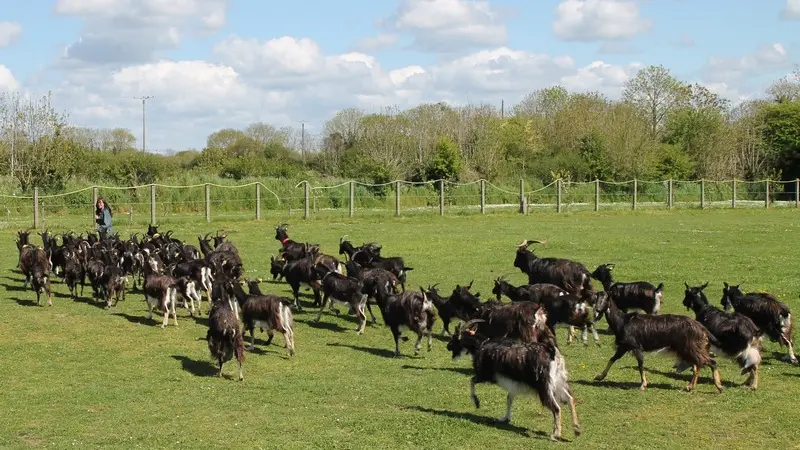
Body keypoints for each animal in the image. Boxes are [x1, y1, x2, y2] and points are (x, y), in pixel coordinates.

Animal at [444, 314, 580, 442]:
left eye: (455, 337)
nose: (447, 346)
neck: (481, 345)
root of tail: (552, 352)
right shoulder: (513, 384)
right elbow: (509, 399)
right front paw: (505, 418)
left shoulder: (485, 375)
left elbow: (472, 381)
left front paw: (477, 403)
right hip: (559, 381)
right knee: (570, 399)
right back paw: (577, 429)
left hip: (544, 386)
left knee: (556, 408)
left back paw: (556, 434)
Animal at [592, 292, 720, 390]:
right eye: (596, 299)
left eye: (605, 299)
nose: (597, 310)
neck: (622, 321)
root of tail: (701, 328)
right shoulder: (624, 346)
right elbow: (613, 359)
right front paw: (599, 376)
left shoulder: (635, 346)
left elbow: (640, 365)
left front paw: (643, 385)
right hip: (688, 348)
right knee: (698, 364)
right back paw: (691, 386)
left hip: (689, 347)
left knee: (709, 362)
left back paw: (718, 386)